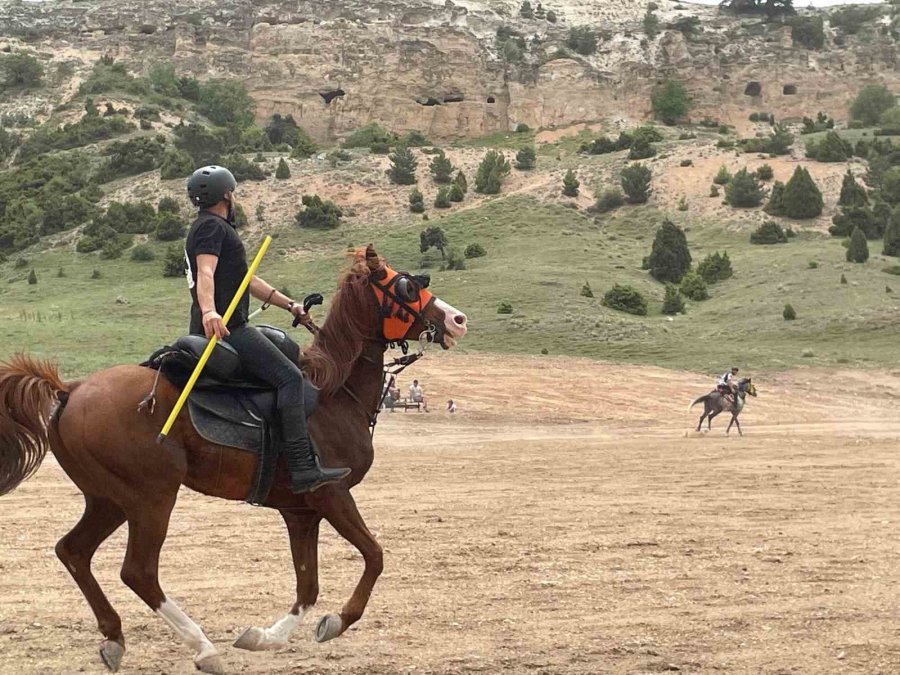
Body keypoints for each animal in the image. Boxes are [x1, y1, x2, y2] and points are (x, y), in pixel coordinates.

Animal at [1, 247, 472, 675]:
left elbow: (307, 585)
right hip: (151, 499)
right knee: (138, 571)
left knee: (74, 551)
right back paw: (202, 646)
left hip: (109, 500)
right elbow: (374, 556)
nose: (457, 320)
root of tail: (71, 390)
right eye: (404, 285)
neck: (333, 394)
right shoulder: (331, 494)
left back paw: (114, 636)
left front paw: (266, 637)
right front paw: (338, 621)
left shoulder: (301, 511)